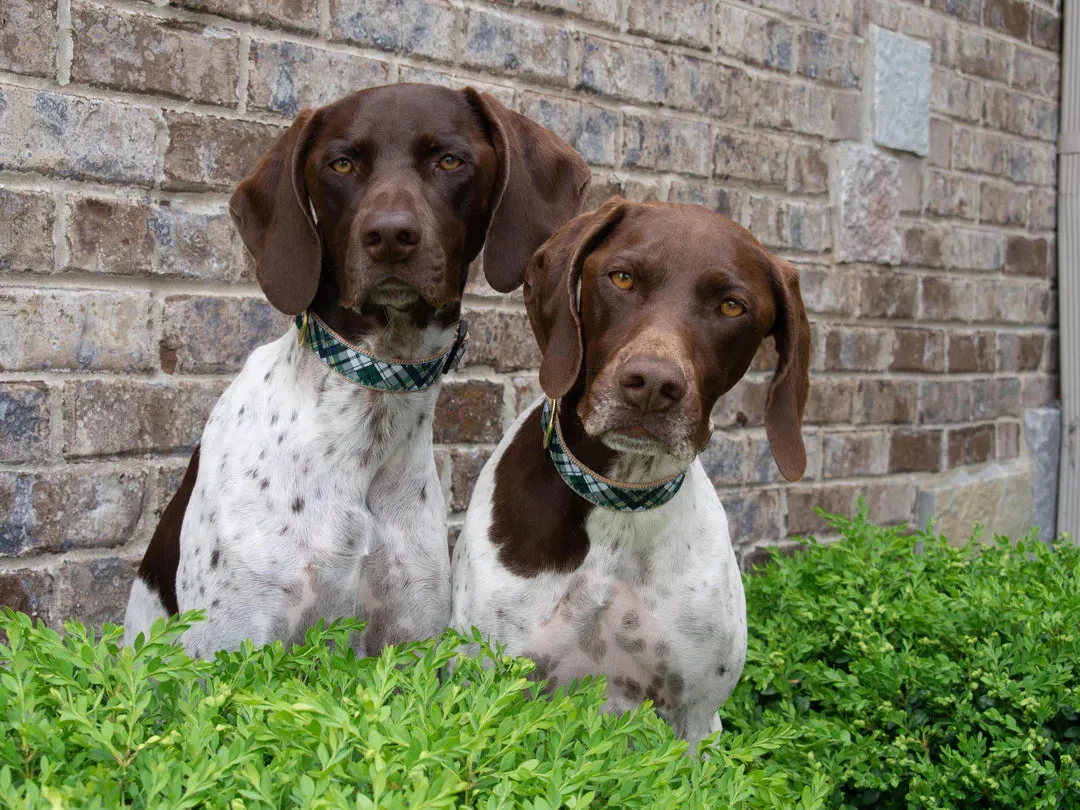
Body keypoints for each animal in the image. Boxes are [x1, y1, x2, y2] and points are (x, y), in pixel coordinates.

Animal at [125, 84, 591, 660]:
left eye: (450, 160)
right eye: (341, 163)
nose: (390, 235)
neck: (370, 410)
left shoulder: (407, 641)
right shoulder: (233, 645)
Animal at [447, 196, 812, 747]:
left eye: (732, 306)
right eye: (621, 278)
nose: (654, 385)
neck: (620, 498)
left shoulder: (695, 718)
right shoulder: (488, 681)